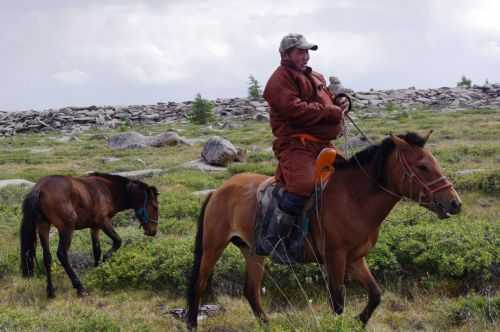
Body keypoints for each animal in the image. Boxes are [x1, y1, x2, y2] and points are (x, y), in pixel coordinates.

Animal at [20, 172, 158, 296]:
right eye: (155, 206)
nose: (153, 231)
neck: (106, 190)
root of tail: (39, 189)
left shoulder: (94, 227)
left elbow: (96, 250)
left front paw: (97, 272)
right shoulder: (104, 222)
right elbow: (117, 241)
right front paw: (105, 260)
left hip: (43, 226)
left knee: (47, 257)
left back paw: (51, 291)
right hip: (66, 228)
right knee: (62, 254)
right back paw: (80, 287)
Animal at [186, 131, 462, 328]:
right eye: (423, 166)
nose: (455, 203)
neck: (354, 198)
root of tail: (218, 190)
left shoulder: (355, 258)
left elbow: (375, 294)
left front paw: (359, 321)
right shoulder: (335, 258)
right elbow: (337, 301)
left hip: (253, 252)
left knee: (251, 292)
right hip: (213, 246)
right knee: (199, 284)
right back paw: (191, 323)